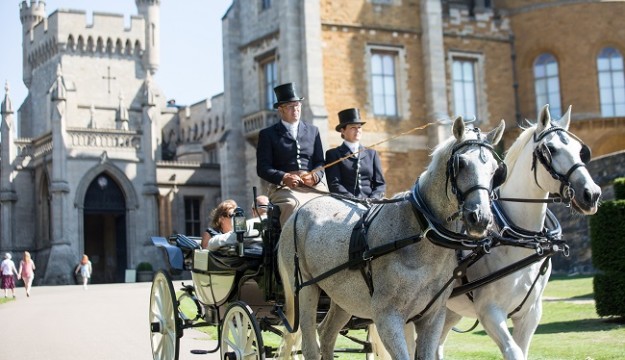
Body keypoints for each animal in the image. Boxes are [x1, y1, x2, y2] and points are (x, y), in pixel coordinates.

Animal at [278, 116, 508, 358]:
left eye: (495, 170)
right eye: (460, 163)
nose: (480, 218)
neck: (421, 237)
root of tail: (301, 209)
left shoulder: (433, 318)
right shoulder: (388, 317)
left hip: (342, 297)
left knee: (326, 333)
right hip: (305, 290)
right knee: (309, 345)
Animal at [436, 102, 604, 358]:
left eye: (579, 150)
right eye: (550, 150)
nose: (591, 194)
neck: (518, 240)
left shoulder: (531, 313)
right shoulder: (490, 312)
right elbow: (513, 351)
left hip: (448, 311)